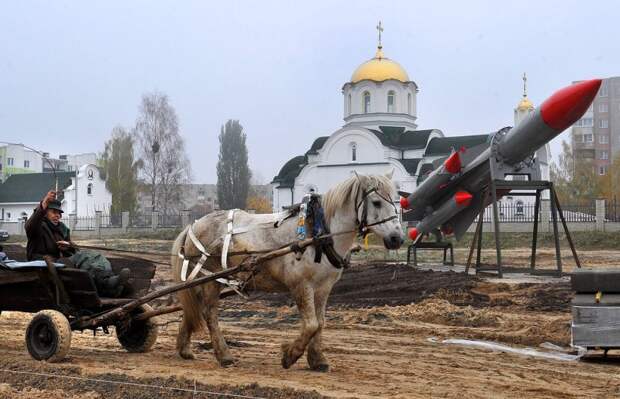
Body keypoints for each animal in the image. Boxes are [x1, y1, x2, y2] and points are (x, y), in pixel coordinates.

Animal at [171, 174, 402, 372]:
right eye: (377, 202)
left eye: (397, 201)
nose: (397, 238)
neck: (318, 234)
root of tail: (194, 225)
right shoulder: (301, 285)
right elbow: (311, 324)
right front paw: (290, 355)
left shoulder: (324, 287)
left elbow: (320, 323)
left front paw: (317, 359)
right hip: (210, 279)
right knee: (209, 313)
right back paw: (224, 355)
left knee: (193, 309)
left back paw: (184, 348)